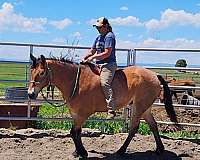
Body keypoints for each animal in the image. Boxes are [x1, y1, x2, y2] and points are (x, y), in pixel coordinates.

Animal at [27, 53, 177, 158]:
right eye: (31, 72)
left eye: (42, 73)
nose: (30, 94)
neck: (76, 82)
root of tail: (155, 75)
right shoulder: (75, 114)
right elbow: (76, 132)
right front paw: (77, 151)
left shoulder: (82, 115)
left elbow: (74, 132)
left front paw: (83, 152)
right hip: (145, 108)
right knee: (153, 125)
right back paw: (159, 149)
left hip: (139, 107)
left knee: (134, 128)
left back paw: (121, 150)